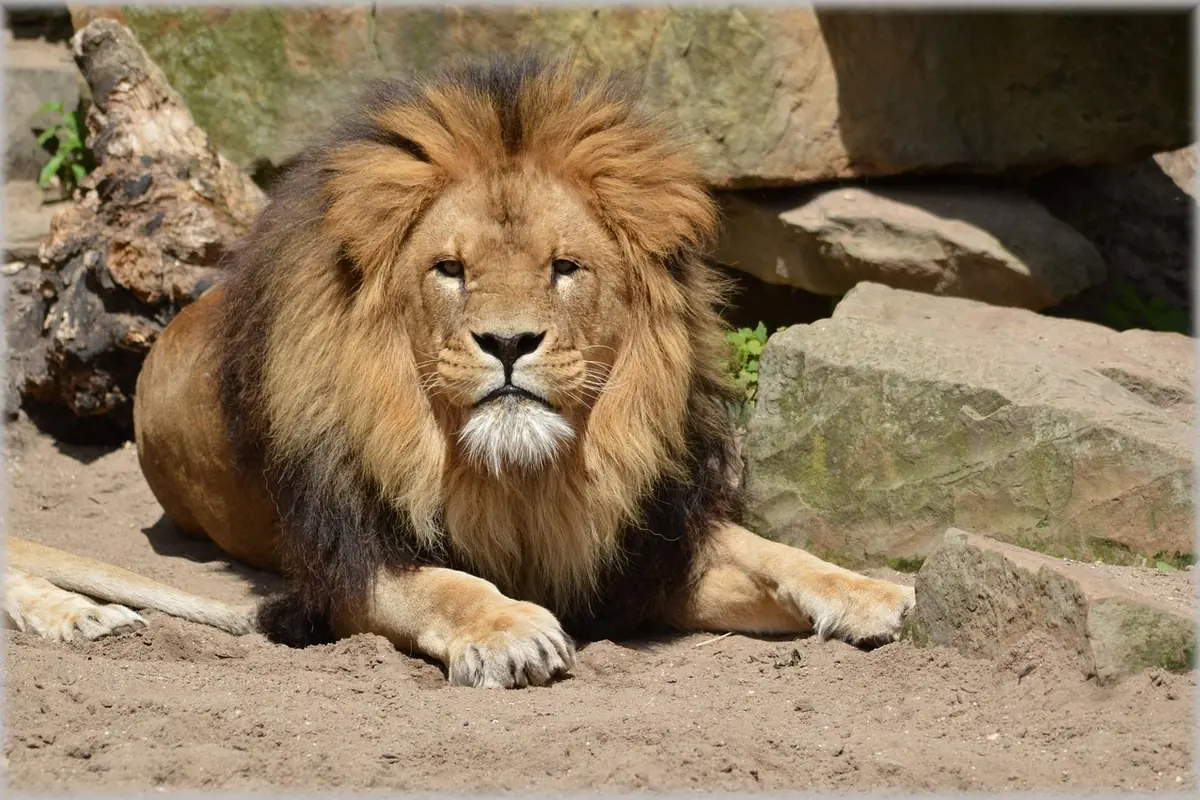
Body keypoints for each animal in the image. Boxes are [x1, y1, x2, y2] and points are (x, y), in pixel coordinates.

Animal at [5, 54, 914, 688]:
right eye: (449, 269)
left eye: (564, 267)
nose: (508, 342)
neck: (529, 481)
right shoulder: (344, 570)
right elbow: (446, 585)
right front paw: (511, 631)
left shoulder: (641, 557)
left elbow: (771, 552)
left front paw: (873, 592)